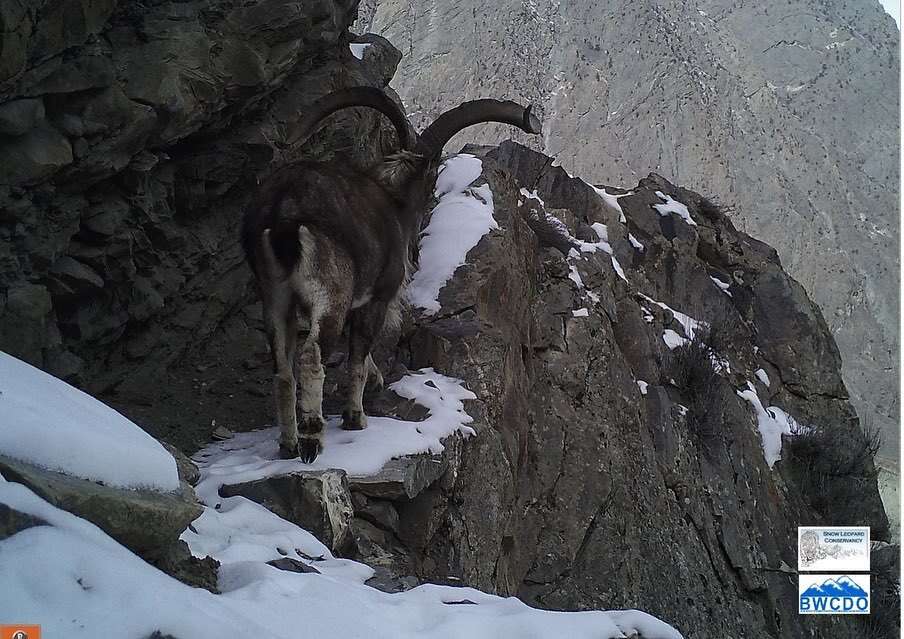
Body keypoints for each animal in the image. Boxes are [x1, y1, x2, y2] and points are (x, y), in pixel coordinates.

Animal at [240, 87, 540, 462]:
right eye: (432, 178)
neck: (393, 201)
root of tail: (283, 210)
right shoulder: (377, 298)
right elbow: (357, 356)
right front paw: (355, 418)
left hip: (275, 296)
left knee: (282, 369)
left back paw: (288, 444)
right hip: (329, 295)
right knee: (310, 357)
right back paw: (312, 441)